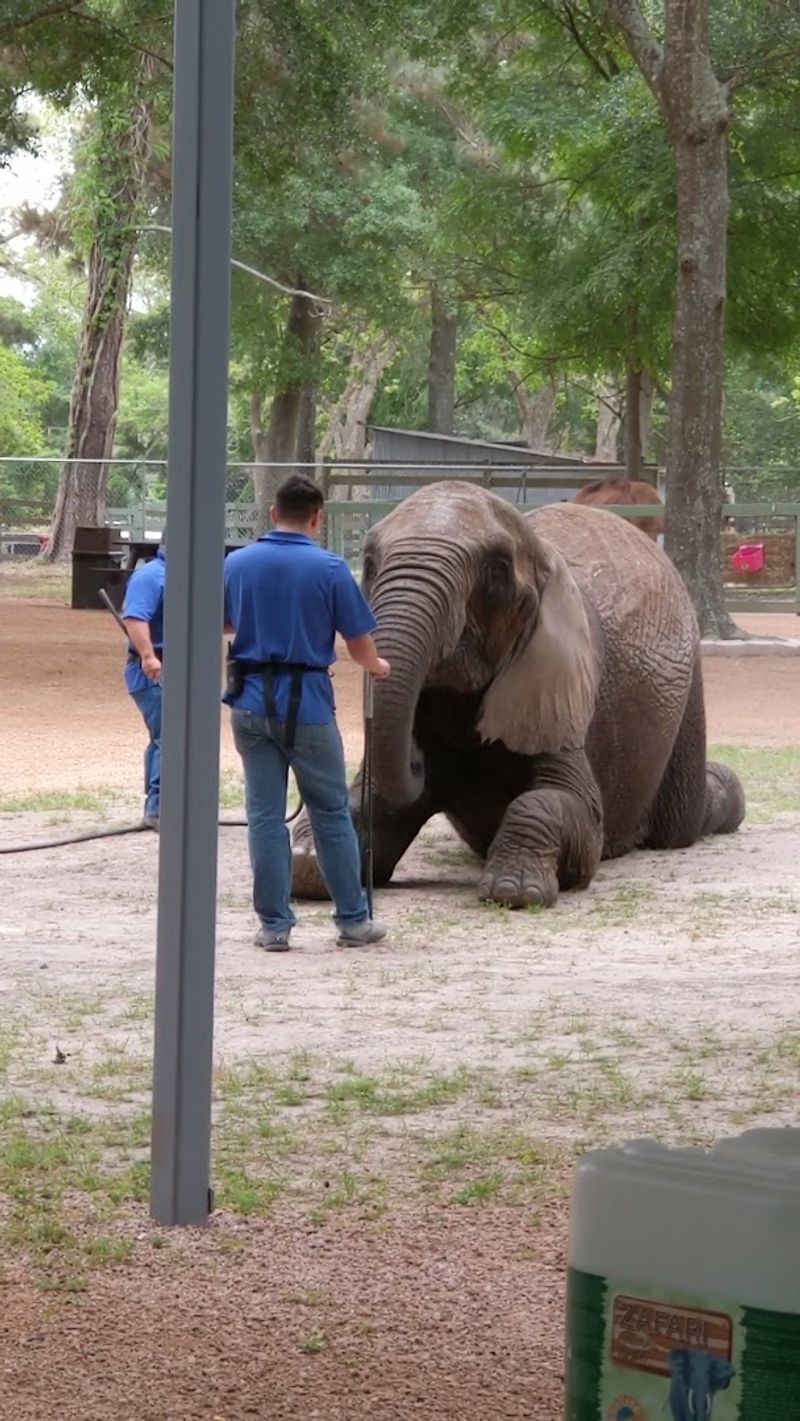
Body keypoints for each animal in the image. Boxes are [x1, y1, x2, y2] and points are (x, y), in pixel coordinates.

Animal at [291, 482, 745, 910]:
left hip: (690, 687)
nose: (418, 763)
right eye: (369, 564)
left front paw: (514, 890)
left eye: (497, 570)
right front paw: (309, 864)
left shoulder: (563, 694)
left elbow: (571, 809)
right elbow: (370, 803)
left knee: (679, 825)